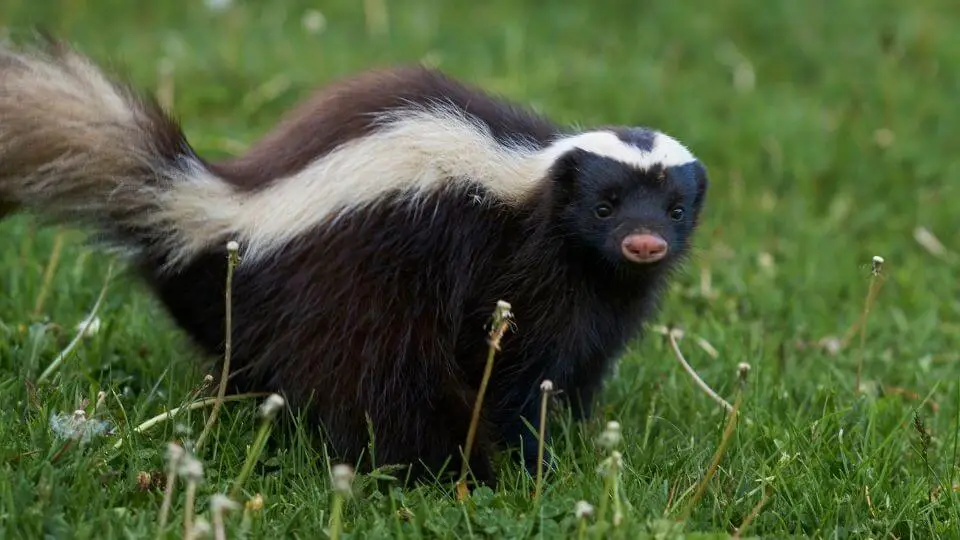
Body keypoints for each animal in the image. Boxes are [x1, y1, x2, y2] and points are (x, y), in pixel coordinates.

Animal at [0, 37, 704, 486]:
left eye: (674, 208)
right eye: (605, 206)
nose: (645, 243)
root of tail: (209, 205)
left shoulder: (602, 303)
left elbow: (577, 369)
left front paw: (572, 446)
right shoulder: (520, 276)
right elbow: (520, 377)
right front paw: (535, 466)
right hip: (355, 293)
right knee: (387, 388)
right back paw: (443, 472)